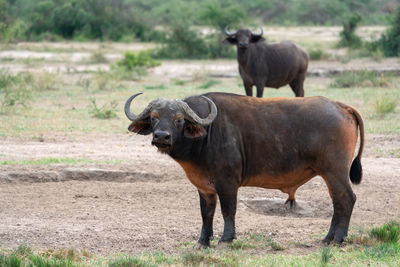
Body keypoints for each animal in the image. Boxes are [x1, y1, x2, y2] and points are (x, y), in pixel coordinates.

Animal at [126, 92, 366, 249]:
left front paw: (226, 239)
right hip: (329, 174)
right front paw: (203, 242)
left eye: (178, 119)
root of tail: (340, 106)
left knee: (346, 199)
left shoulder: (227, 183)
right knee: (337, 202)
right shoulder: (205, 188)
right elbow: (206, 214)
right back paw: (327, 238)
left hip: (335, 172)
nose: (161, 137)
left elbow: (228, 211)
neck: (206, 135)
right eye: (154, 117)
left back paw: (338, 239)